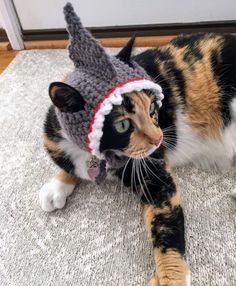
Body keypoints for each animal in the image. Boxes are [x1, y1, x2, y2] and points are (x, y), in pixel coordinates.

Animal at [39, 2, 236, 286]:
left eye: (153, 108)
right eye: (123, 125)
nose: (159, 138)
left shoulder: (154, 172)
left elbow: (165, 222)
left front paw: (170, 279)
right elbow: (70, 168)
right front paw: (56, 185)